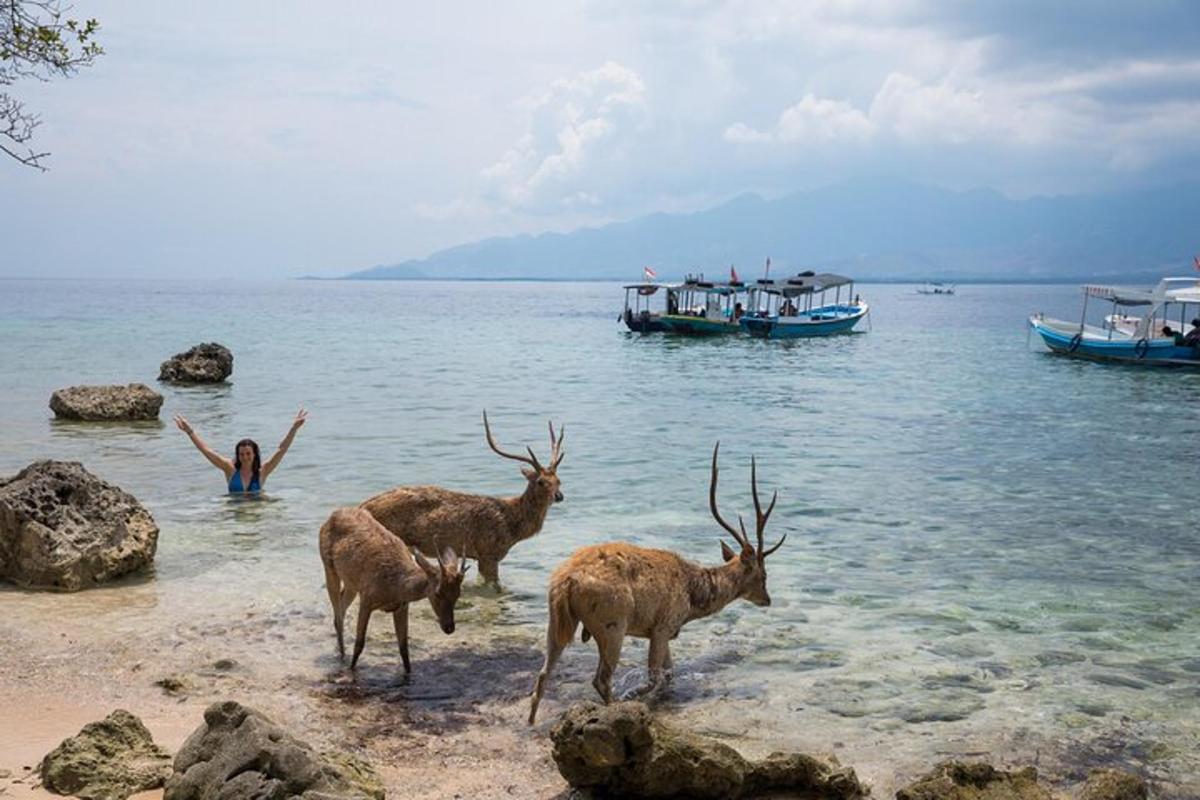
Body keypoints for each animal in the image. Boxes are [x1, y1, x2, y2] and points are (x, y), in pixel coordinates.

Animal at [319, 506, 468, 671]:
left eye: (458, 594)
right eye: (438, 593)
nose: (449, 627)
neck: (395, 589)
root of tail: (332, 516)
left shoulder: (402, 606)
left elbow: (404, 649)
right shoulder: (366, 599)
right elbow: (359, 643)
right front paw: (351, 670)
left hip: (352, 583)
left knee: (340, 607)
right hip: (328, 566)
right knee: (338, 614)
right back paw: (342, 656)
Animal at [357, 412, 564, 587]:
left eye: (558, 480)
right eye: (540, 481)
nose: (559, 496)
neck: (512, 527)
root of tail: (362, 506)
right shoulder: (488, 552)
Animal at [530, 443, 782, 724]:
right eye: (763, 575)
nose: (767, 599)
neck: (693, 599)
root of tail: (565, 582)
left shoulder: (664, 631)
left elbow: (670, 673)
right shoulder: (663, 625)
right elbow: (655, 677)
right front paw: (633, 695)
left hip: (557, 620)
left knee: (542, 676)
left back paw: (531, 722)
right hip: (613, 623)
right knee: (601, 679)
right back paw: (616, 706)